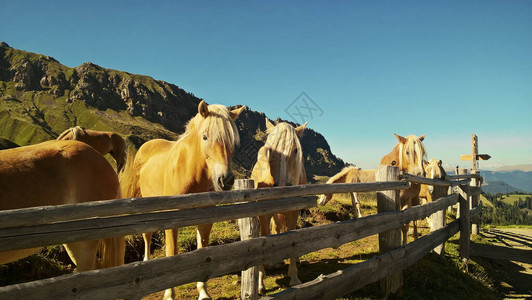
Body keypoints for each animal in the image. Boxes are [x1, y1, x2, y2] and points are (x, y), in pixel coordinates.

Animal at [120, 101, 245, 300]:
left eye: (232, 140)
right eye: (205, 136)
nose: (225, 180)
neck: (190, 172)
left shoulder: (205, 220)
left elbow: (203, 251)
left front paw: (203, 291)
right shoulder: (173, 221)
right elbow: (172, 251)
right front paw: (169, 294)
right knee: (147, 236)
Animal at [250, 118, 308, 294]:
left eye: (295, 150)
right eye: (270, 150)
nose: (282, 186)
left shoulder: (293, 210)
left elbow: (291, 235)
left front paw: (294, 277)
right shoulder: (263, 213)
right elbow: (264, 237)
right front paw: (260, 282)